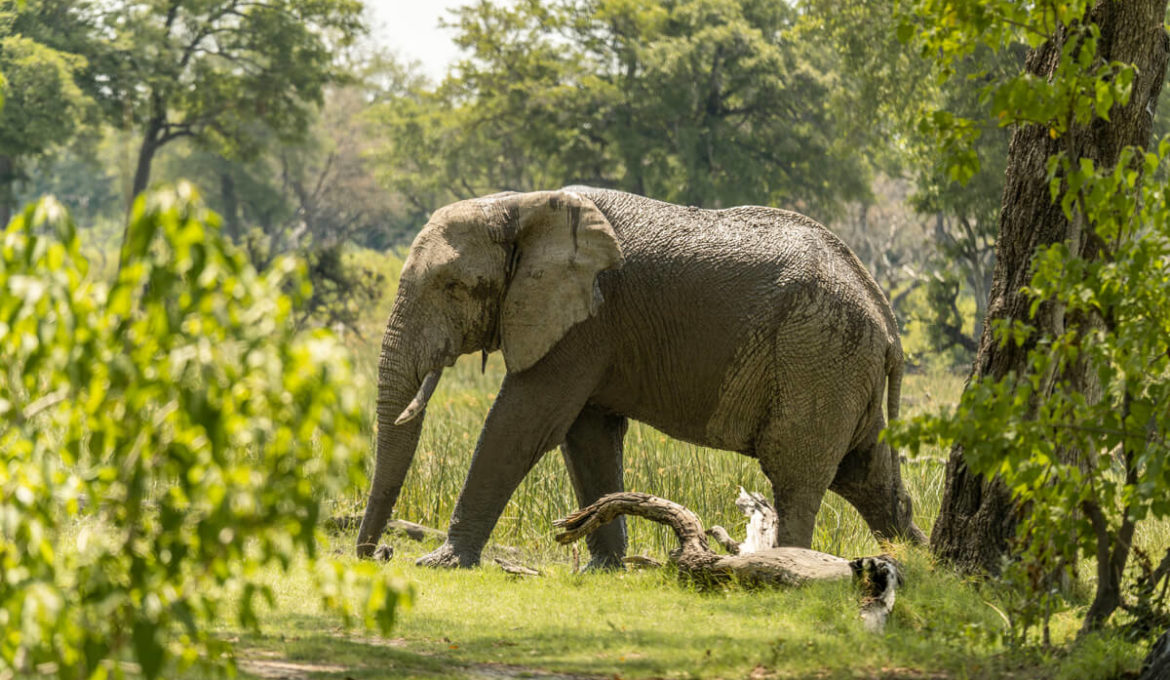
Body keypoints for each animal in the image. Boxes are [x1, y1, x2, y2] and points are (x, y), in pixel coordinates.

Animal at [351, 186, 926, 566]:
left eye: (454, 287)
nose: (377, 554)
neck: (523, 205)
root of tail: (886, 314)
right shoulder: (589, 328)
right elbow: (587, 436)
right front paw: (602, 569)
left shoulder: (586, 320)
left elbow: (522, 425)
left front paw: (441, 563)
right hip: (843, 365)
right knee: (868, 475)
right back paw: (925, 565)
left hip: (817, 354)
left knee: (796, 474)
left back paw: (791, 567)